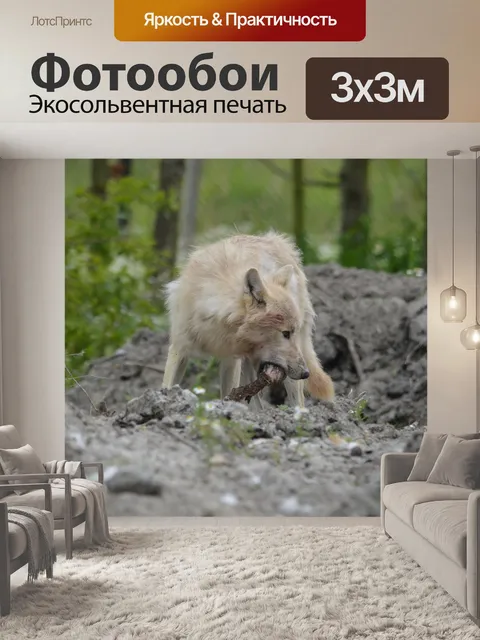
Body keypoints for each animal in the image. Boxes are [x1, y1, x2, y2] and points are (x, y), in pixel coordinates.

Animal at [162, 232, 334, 409]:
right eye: (285, 333)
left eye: (291, 332)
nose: (305, 373)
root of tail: (277, 241)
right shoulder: (179, 348)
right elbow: (166, 387)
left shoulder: (231, 360)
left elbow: (228, 396)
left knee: (297, 402)